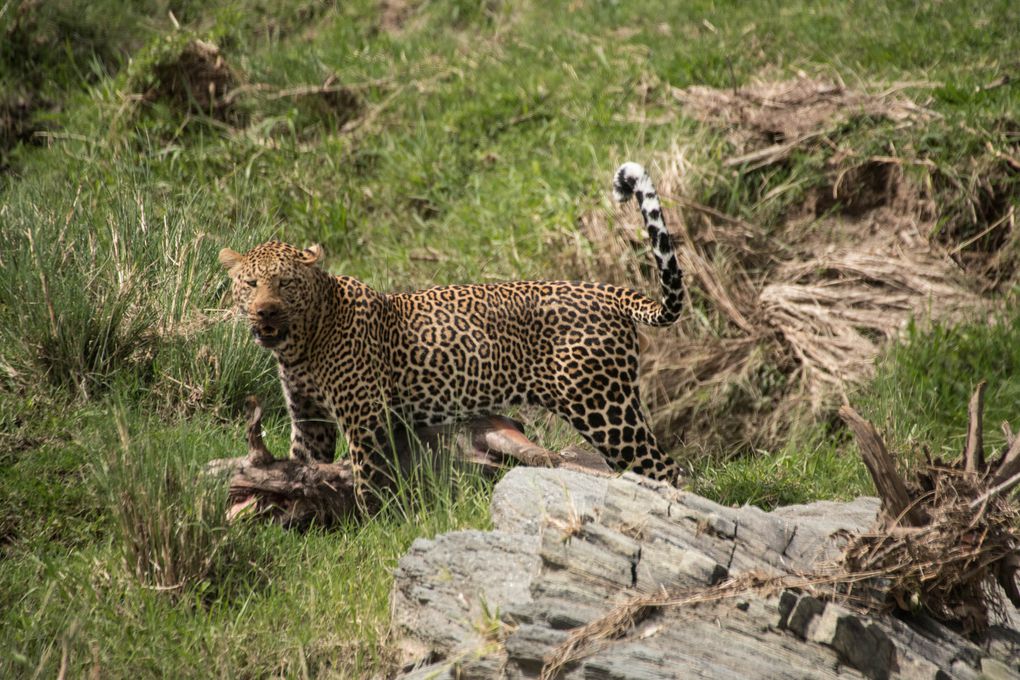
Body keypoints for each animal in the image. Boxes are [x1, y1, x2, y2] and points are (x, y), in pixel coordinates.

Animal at [221, 162, 685, 495]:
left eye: (285, 283)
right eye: (251, 284)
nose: (265, 311)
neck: (300, 345)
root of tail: (608, 290)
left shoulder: (365, 419)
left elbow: (367, 479)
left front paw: (369, 520)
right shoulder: (309, 419)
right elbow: (305, 466)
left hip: (604, 406)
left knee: (664, 467)